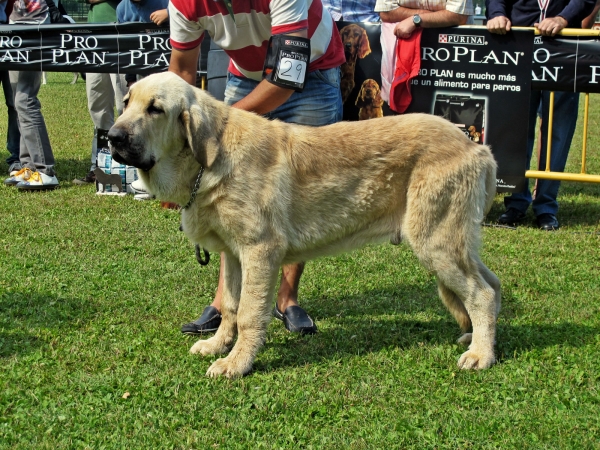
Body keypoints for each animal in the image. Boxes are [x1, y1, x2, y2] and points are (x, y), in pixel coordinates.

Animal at [108, 72, 502, 378]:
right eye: (126, 102)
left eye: (155, 109)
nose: (113, 137)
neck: (209, 158)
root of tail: (476, 146)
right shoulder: (234, 256)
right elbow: (231, 307)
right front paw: (219, 345)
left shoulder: (260, 251)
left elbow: (249, 313)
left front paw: (237, 364)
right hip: (456, 243)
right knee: (493, 285)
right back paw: (481, 340)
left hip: (437, 242)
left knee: (481, 293)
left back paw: (481, 355)